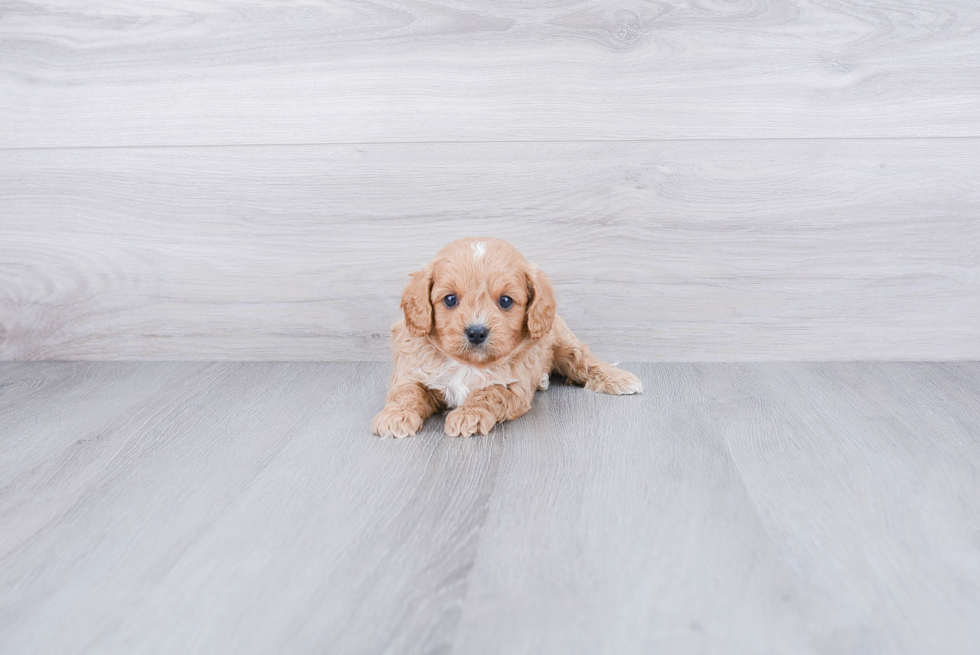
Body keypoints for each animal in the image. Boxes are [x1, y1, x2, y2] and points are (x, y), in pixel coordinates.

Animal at [372, 238, 640, 438]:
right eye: (449, 299)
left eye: (505, 301)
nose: (476, 332)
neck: (468, 364)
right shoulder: (412, 371)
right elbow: (406, 392)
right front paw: (395, 416)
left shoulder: (512, 385)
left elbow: (488, 394)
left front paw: (469, 415)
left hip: (562, 340)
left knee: (583, 359)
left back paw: (620, 378)